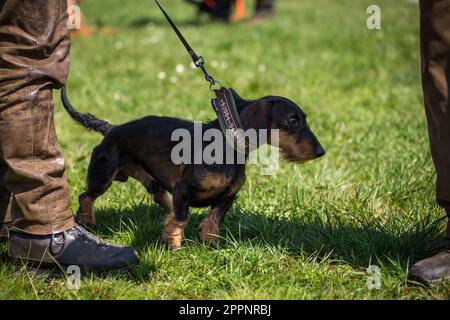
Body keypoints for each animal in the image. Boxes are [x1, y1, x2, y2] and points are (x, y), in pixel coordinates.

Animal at [61, 87, 326, 250]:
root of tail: (112, 128)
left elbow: (213, 219)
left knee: (166, 206)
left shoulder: (229, 196)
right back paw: (87, 220)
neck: (225, 145)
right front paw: (174, 245)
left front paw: (209, 244)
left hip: (155, 186)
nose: (321, 151)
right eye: (293, 119)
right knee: (86, 196)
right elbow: (182, 218)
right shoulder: (183, 189)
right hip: (103, 175)